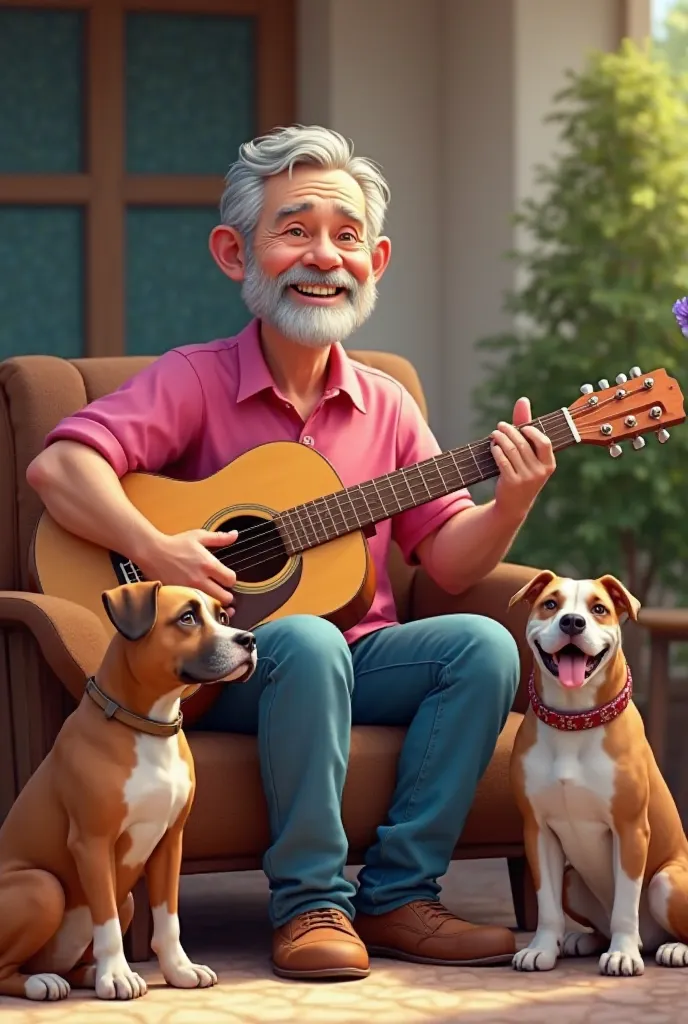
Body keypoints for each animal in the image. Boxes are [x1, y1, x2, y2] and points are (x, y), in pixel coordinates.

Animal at [0, 581, 256, 1003]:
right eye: (187, 617)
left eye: (222, 616)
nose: (249, 640)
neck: (148, 726)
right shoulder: (92, 843)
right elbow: (105, 923)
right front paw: (117, 975)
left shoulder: (170, 842)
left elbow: (168, 919)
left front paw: (179, 970)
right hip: (42, 886)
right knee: (8, 968)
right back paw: (44, 982)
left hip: (129, 899)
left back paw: (84, 974)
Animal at [507, 573, 688, 978]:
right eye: (550, 604)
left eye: (599, 609)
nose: (573, 622)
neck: (574, 721)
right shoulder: (537, 830)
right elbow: (547, 907)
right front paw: (542, 949)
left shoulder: (630, 828)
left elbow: (624, 905)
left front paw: (622, 954)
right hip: (572, 879)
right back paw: (583, 941)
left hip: (668, 881)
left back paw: (672, 948)